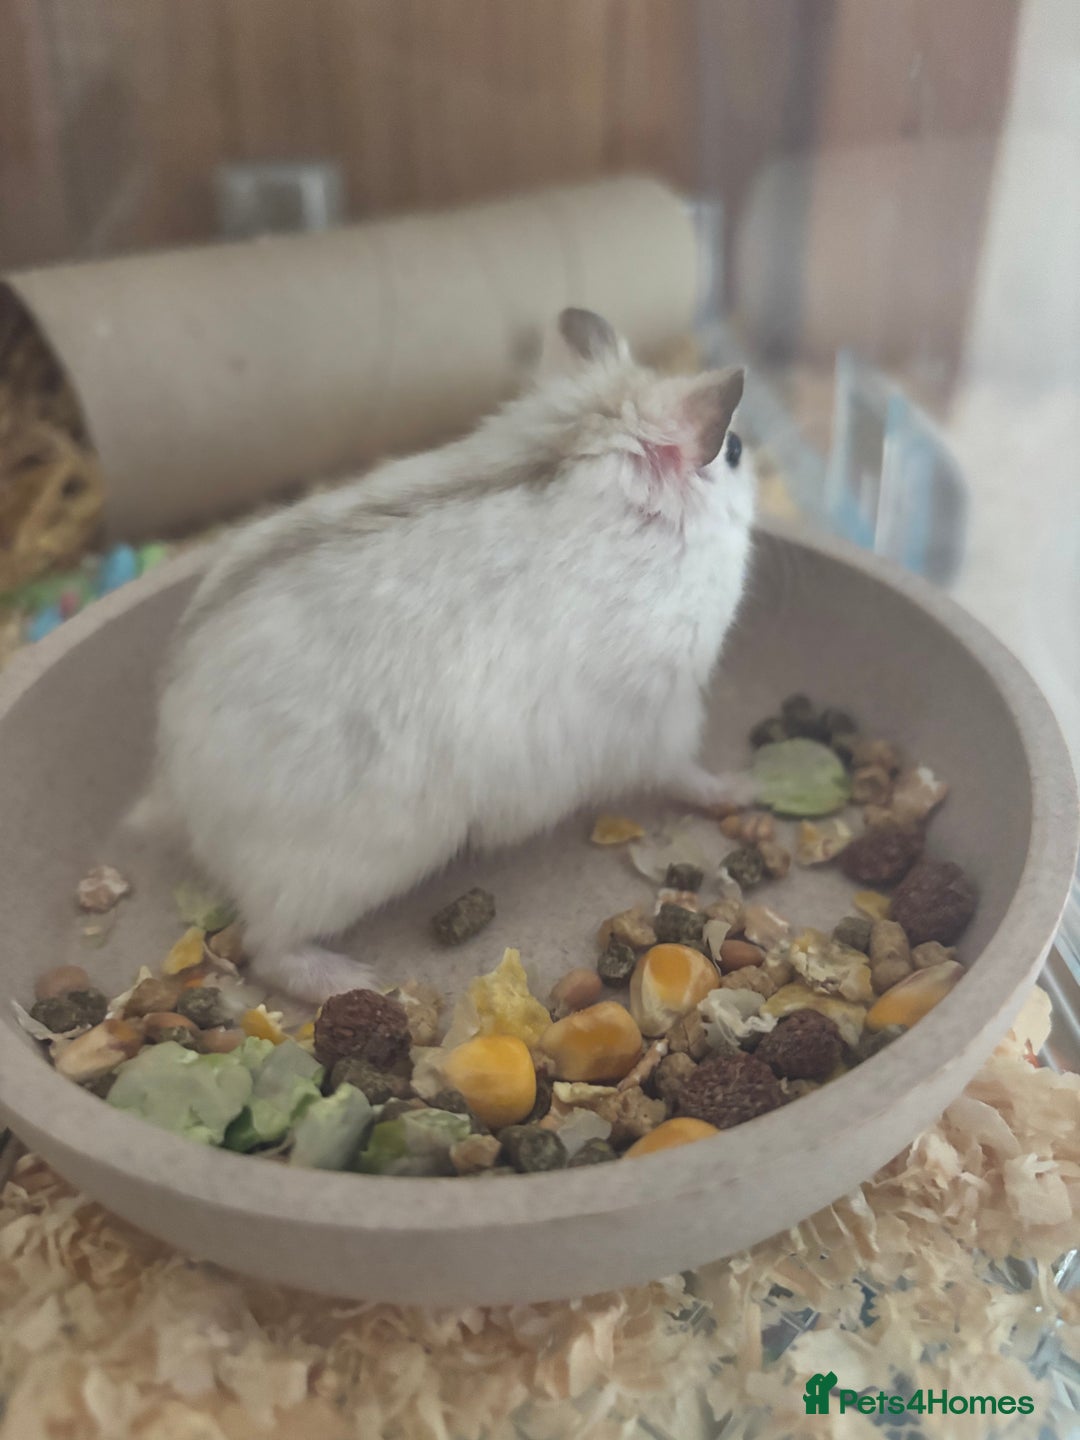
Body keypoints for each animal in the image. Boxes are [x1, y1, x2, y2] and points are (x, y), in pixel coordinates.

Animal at [141, 308, 756, 1002]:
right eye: (734, 449)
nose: (748, 451)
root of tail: (175, 787)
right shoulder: (665, 715)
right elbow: (689, 773)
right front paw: (746, 787)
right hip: (331, 873)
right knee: (267, 949)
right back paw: (361, 983)